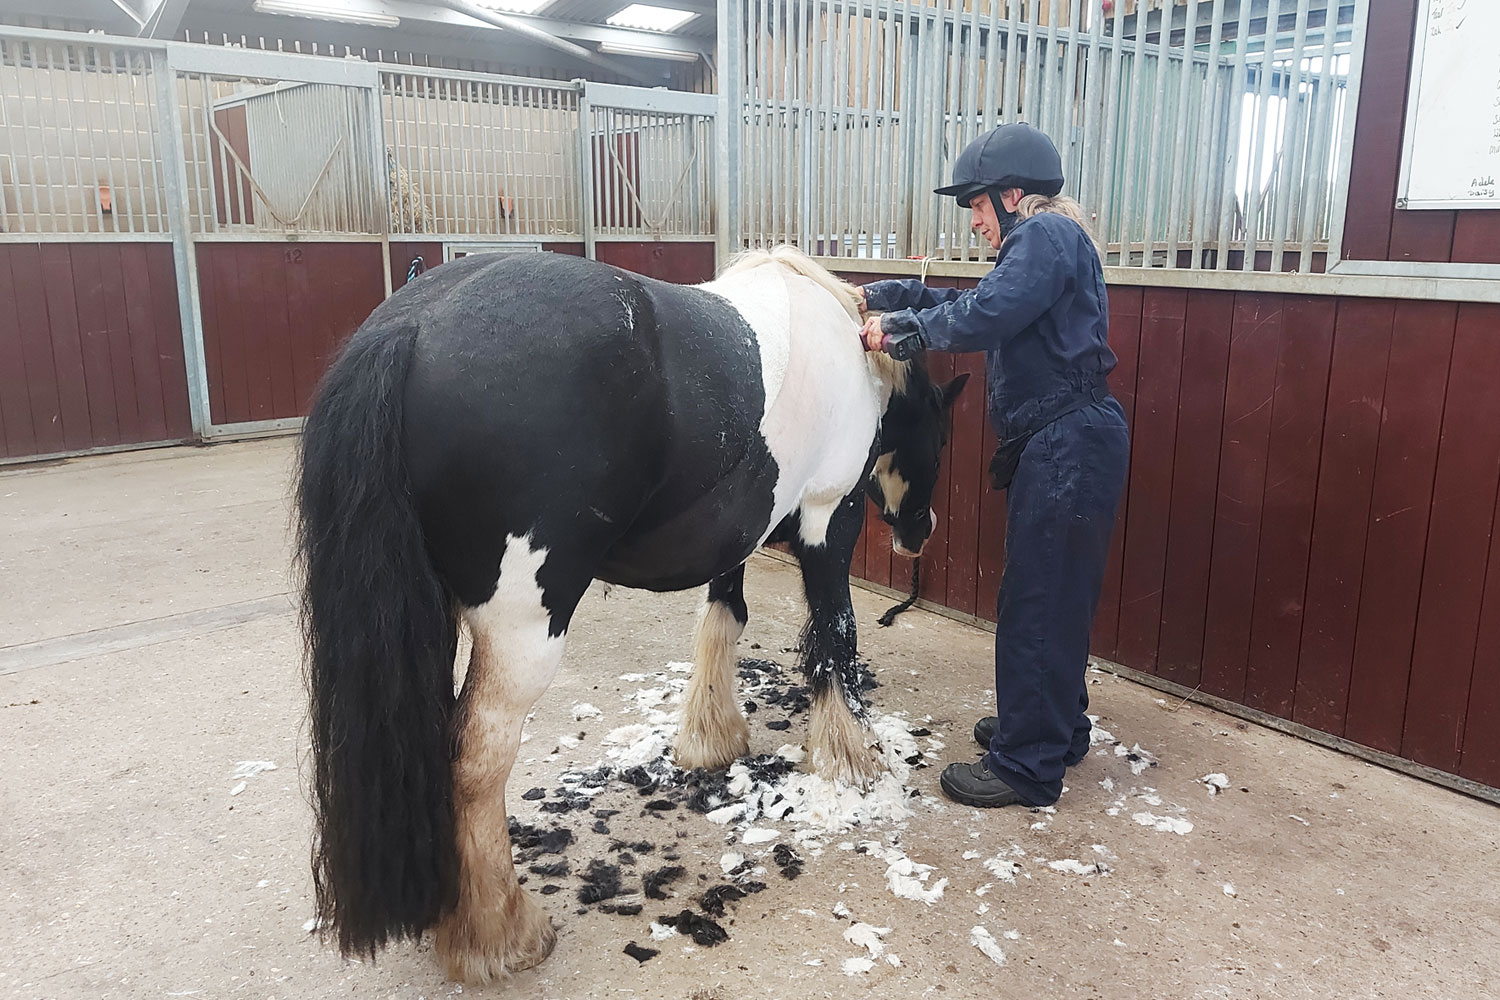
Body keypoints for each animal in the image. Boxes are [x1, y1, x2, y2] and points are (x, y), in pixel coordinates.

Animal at [292, 245, 966, 983]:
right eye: (939, 431)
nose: (919, 532)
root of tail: (409, 327)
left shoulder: (735, 536)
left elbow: (724, 620)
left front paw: (710, 739)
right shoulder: (827, 520)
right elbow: (836, 636)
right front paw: (854, 762)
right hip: (525, 631)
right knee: (473, 759)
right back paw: (501, 934)